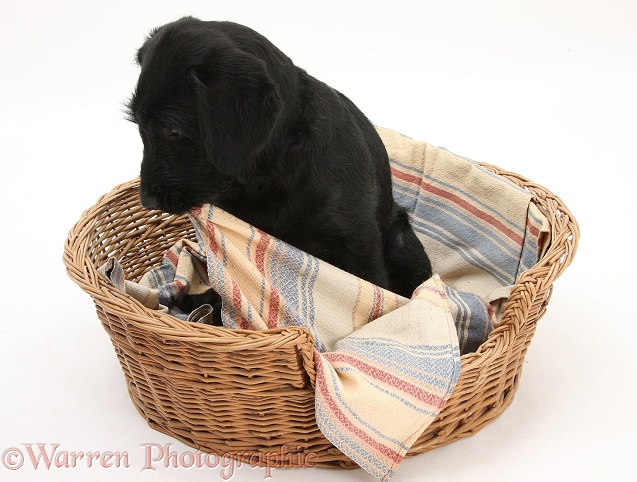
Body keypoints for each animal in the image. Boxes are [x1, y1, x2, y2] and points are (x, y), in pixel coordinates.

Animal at [126, 16, 430, 324]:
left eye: (172, 129)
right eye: (138, 124)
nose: (146, 199)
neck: (271, 175)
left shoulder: (359, 242)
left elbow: (373, 292)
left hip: (402, 243)